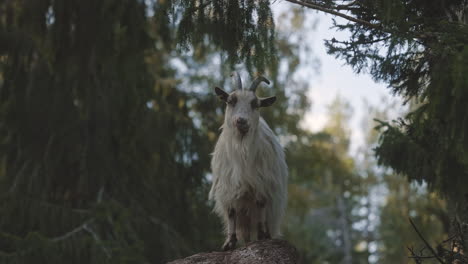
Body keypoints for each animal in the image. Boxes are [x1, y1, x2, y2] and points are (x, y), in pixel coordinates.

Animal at [209, 71, 288, 250]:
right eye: (231, 101)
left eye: (255, 104)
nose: (241, 121)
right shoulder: (228, 187)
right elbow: (231, 212)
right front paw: (229, 243)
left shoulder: (261, 183)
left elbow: (261, 205)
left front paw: (261, 236)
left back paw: (264, 235)